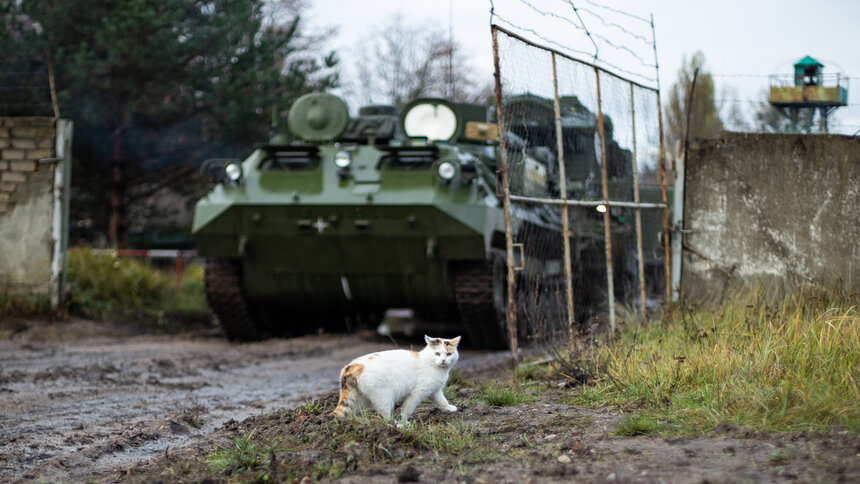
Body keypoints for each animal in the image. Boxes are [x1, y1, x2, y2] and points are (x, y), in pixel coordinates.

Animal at [332, 336, 460, 424]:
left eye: (449, 354)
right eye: (437, 353)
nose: (443, 360)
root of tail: (353, 366)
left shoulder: (435, 391)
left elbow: (442, 401)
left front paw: (449, 408)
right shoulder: (417, 392)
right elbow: (407, 409)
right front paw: (403, 422)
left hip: (358, 398)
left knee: (349, 411)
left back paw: (355, 422)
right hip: (384, 396)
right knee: (384, 415)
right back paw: (395, 425)